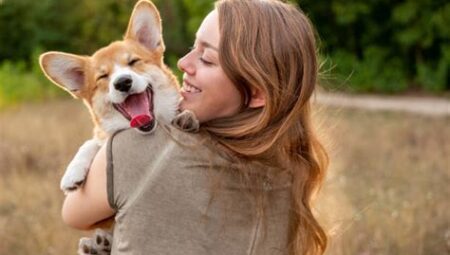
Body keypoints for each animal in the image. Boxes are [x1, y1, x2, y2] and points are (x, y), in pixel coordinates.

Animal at [40, 0, 197, 254]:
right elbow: (91, 142)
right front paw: (72, 173)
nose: (123, 82)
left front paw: (188, 118)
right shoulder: (103, 137)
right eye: (103, 77)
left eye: (133, 62)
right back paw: (96, 245)